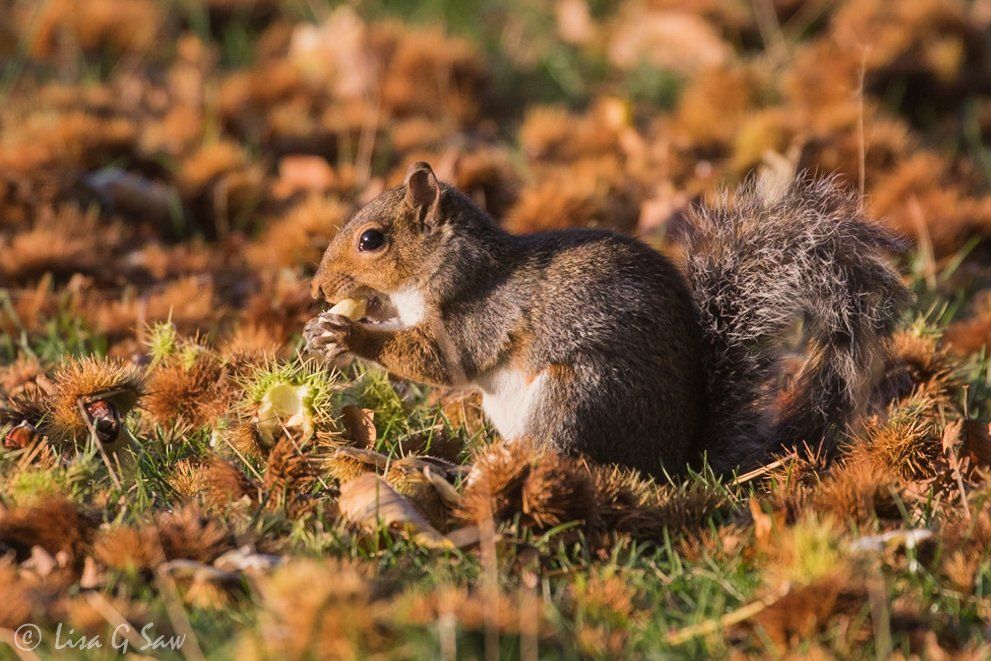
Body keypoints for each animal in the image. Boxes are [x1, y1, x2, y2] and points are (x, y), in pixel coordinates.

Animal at [305, 162, 910, 476]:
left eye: (371, 240)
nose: (317, 290)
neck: (449, 264)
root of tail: (676, 458)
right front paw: (321, 331)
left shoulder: (476, 315)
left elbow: (437, 361)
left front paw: (348, 332)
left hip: (581, 393)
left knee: (558, 452)